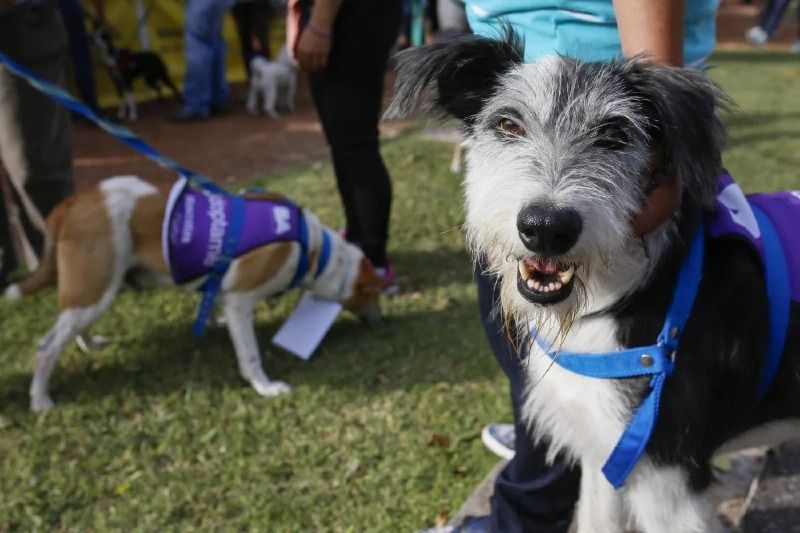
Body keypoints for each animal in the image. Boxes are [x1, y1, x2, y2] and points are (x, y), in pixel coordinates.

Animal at [2, 177, 390, 410]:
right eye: (375, 296)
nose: (380, 321)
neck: (313, 249)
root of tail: (70, 204)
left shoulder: (224, 295)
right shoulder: (240, 300)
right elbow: (250, 356)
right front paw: (264, 387)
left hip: (97, 288)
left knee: (72, 326)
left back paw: (90, 344)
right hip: (95, 287)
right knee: (47, 346)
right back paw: (40, 400)